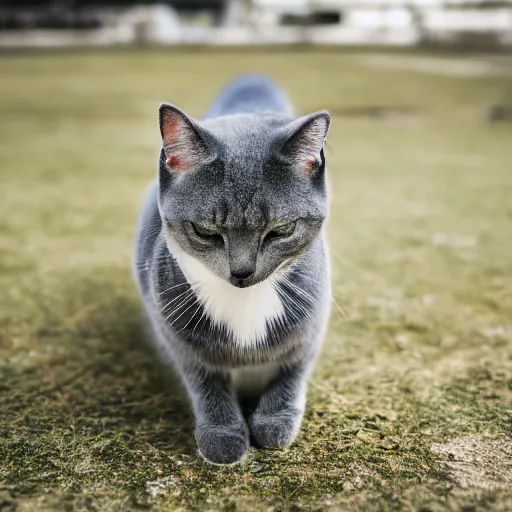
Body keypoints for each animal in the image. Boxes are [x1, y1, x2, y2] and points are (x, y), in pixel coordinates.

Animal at [134, 75, 330, 464]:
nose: (242, 272)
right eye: (206, 232)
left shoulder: (314, 317)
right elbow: (204, 380)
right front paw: (223, 434)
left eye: (282, 230)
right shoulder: (175, 328)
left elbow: (293, 369)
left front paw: (274, 421)